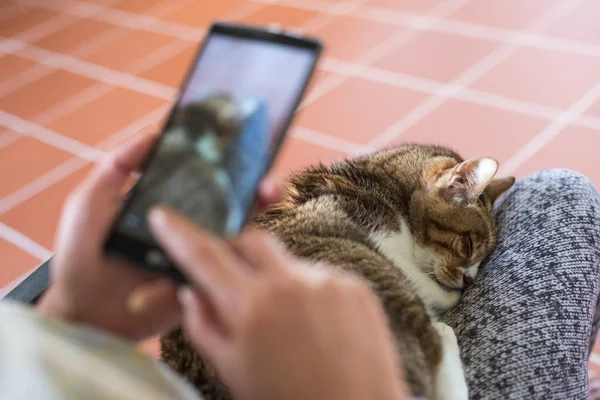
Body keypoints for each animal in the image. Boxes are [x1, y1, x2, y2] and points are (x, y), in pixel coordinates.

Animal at [161, 144, 516, 400]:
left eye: (482, 257)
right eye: (467, 246)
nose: (470, 280)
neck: (376, 180)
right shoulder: (386, 242)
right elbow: (427, 284)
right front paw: (448, 294)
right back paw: (443, 333)